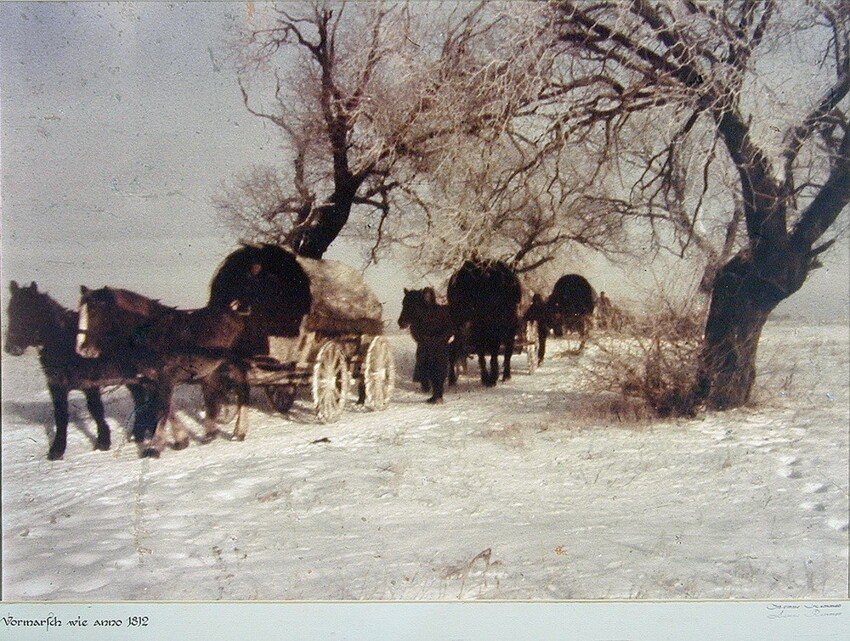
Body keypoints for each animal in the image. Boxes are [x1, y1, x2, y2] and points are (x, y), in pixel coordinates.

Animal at [4, 280, 156, 460]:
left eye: (29, 313)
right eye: (9, 311)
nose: (11, 348)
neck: (65, 342)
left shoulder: (90, 384)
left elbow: (95, 410)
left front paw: (103, 442)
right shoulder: (57, 386)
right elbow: (61, 416)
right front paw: (57, 450)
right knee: (140, 399)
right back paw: (139, 432)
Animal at [75, 284, 248, 456]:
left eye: (95, 312)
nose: (82, 349)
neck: (152, 334)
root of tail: (236, 312)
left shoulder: (165, 378)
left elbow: (162, 410)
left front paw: (154, 448)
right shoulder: (152, 381)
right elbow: (168, 409)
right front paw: (181, 440)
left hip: (236, 364)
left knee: (242, 391)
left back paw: (239, 432)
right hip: (213, 370)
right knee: (213, 395)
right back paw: (210, 433)